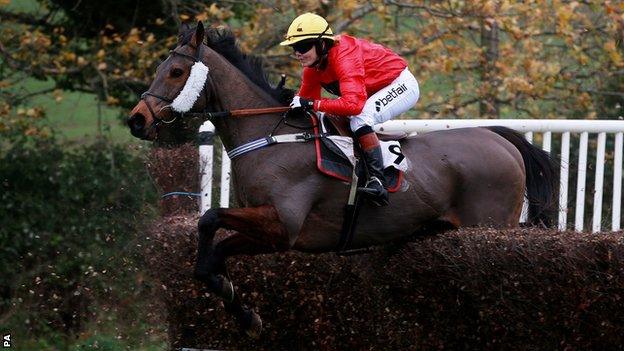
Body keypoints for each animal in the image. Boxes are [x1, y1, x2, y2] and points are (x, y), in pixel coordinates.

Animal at [125, 22, 556, 338]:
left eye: (176, 71)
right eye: (161, 69)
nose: (137, 121)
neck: (270, 136)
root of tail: (501, 139)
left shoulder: (282, 227)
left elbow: (210, 220)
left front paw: (241, 309)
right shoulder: (267, 226)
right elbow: (210, 247)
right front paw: (243, 312)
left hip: (492, 226)